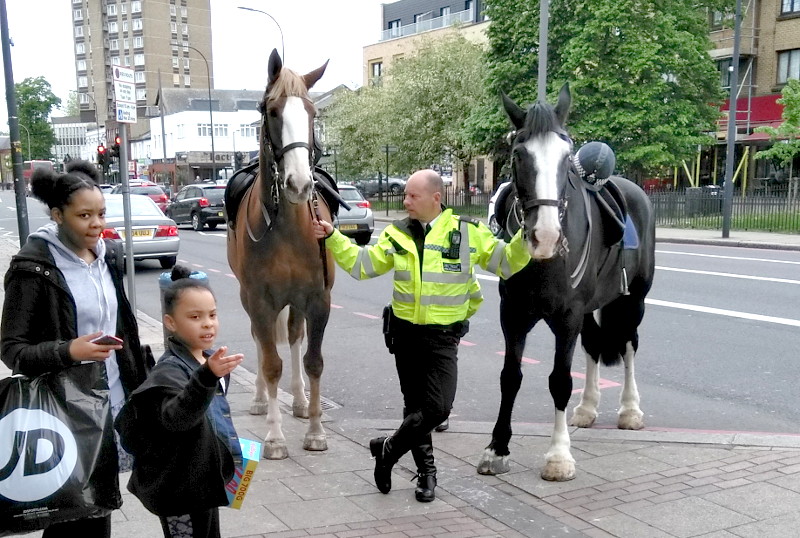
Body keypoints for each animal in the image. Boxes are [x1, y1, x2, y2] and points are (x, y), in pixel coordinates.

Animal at [227, 49, 332, 456]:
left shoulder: (317, 299)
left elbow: (313, 360)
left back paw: (301, 402)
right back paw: (260, 399)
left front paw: (316, 430)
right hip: (251, 298)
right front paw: (274, 437)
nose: (300, 184)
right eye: (272, 111)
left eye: (312, 113)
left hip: (296, 301)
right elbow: (271, 362)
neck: (287, 226)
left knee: (293, 336)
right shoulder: (258, 298)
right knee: (262, 341)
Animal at [476, 85, 656, 482]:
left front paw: (558, 456)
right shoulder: (513, 315)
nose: (545, 236)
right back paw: (587, 408)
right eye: (518, 154)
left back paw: (630, 410)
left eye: (565, 156)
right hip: (590, 309)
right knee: (593, 346)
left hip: (633, 300)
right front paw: (497, 448)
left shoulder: (567, 316)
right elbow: (510, 376)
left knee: (630, 345)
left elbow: (559, 380)